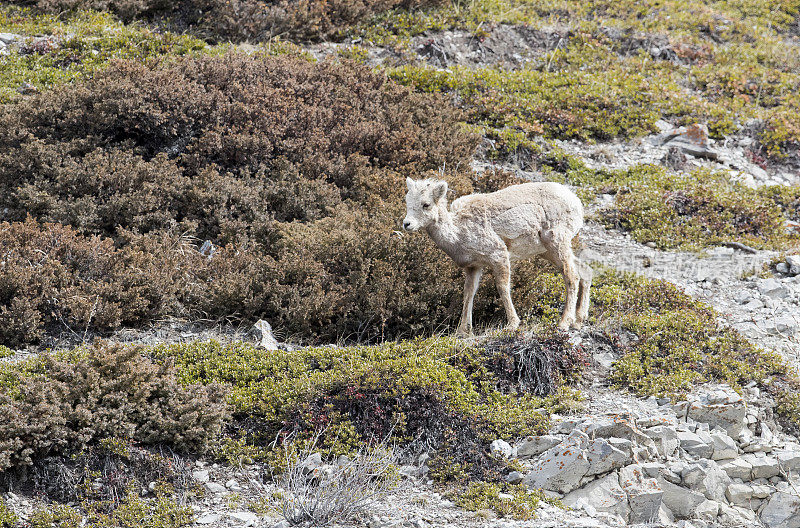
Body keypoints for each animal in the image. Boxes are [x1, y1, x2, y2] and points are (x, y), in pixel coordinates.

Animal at [404, 177, 592, 334]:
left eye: (426, 204)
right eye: (407, 201)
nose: (406, 224)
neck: (458, 233)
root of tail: (576, 202)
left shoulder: (499, 255)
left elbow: (502, 287)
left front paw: (512, 324)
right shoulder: (474, 266)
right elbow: (469, 293)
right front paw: (462, 331)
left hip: (557, 242)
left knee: (572, 276)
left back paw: (564, 323)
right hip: (548, 252)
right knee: (585, 271)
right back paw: (579, 321)